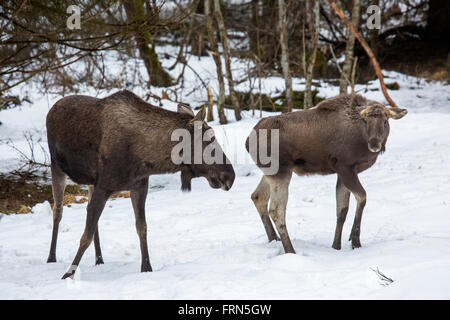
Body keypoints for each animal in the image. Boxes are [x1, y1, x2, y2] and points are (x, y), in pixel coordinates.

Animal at [46, 89, 236, 278]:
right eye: (210, 140)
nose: (230, 176)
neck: (147, 158)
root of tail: (52, 108)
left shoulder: (139, 186)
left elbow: (141, 227)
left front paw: (146, 268)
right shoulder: (104, 186)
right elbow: (86, 235)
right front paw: (68, 275)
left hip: (91, 180)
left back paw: (99, 259)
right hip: (56, 167)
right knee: (58, 210)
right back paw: (51, 258)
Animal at [248, 94, 406, 254]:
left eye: (385, 120)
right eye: (366, 120)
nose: (374, 144)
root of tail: (247, 141)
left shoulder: (342, 173)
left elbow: (342, 210)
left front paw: (336, 246)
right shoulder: (345, 167)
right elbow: (362, 197)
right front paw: (355, 241)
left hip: (272, 172)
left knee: (257, 196)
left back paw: (274, 239)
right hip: (281, 171)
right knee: (276, 210)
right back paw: (290, 250)